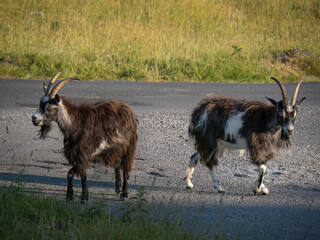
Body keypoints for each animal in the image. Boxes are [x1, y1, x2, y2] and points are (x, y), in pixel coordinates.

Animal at [31, 72, 138, 201]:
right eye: (40, 104)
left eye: (50, 108)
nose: (34, 118)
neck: (75, 123)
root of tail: (129, 110)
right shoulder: (77, 156)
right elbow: (70, 174)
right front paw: (69, 196)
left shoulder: (83, 155)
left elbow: (82, 175)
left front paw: (84, 196)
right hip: (115, 149)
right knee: (117, 166)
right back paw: (118, 190)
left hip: (129, 147)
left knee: (126, 168)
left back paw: (124, 193)